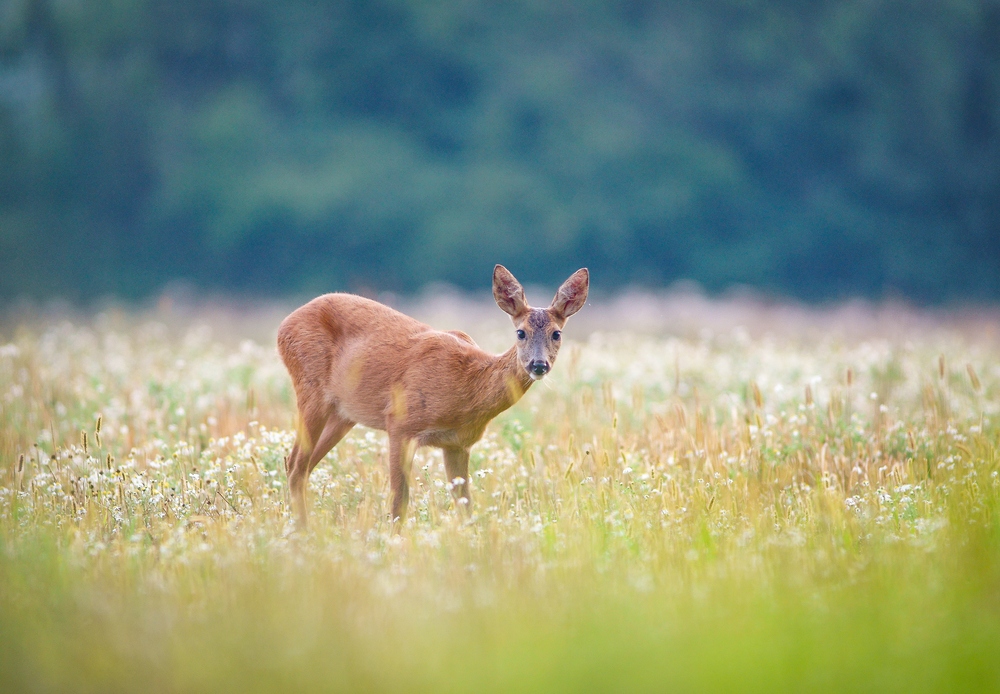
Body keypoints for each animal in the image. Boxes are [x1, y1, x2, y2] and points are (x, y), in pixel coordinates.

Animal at [276, 266, 584, 528]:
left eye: (556, 334)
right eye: (521, 332)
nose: (538, 365)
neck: (468, 388)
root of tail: (284, 324)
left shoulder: (458, 444)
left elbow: (465, 507)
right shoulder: (400, 423)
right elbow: (399, 504)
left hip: (343, 414)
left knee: (298, 464)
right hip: (311, 389)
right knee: (297, 465)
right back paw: (302, 530)